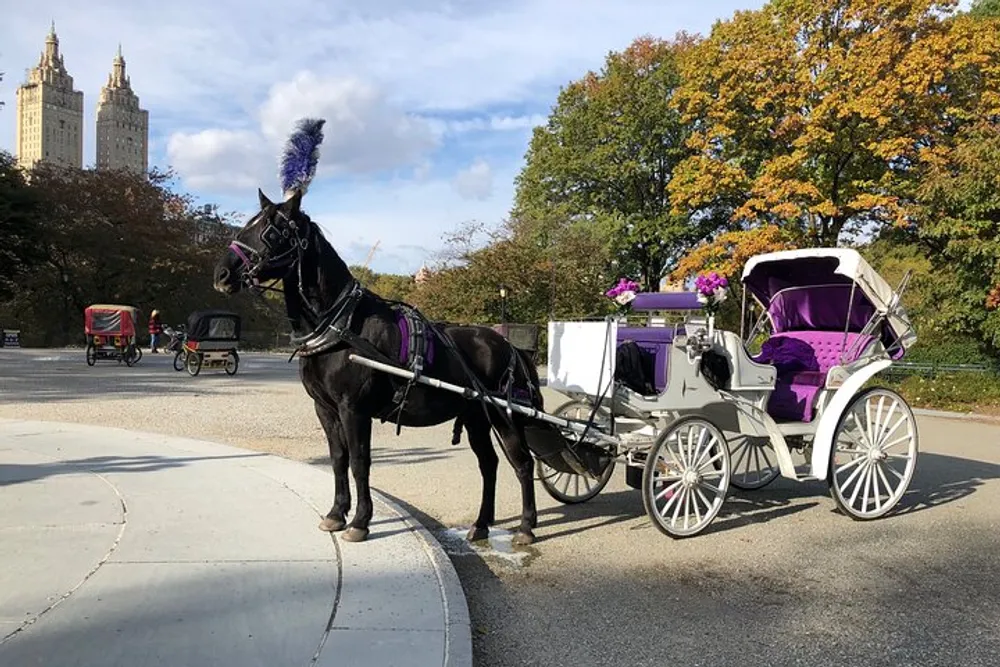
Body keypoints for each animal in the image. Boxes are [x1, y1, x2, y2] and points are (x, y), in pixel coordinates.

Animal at [212, 190, 552, 544]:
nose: (221, 274)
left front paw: (360, 521)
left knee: (522, 463)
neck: (342, 326)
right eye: (248, 224)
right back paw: (482, 524)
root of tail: (510, 345)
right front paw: (336, 514)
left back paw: (526, 526)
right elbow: (338, 459)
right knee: (489, 463)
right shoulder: (325, 409)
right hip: (476, 417)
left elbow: (360, 461)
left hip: (502, 416)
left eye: (271, 231)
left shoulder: (354, 409)